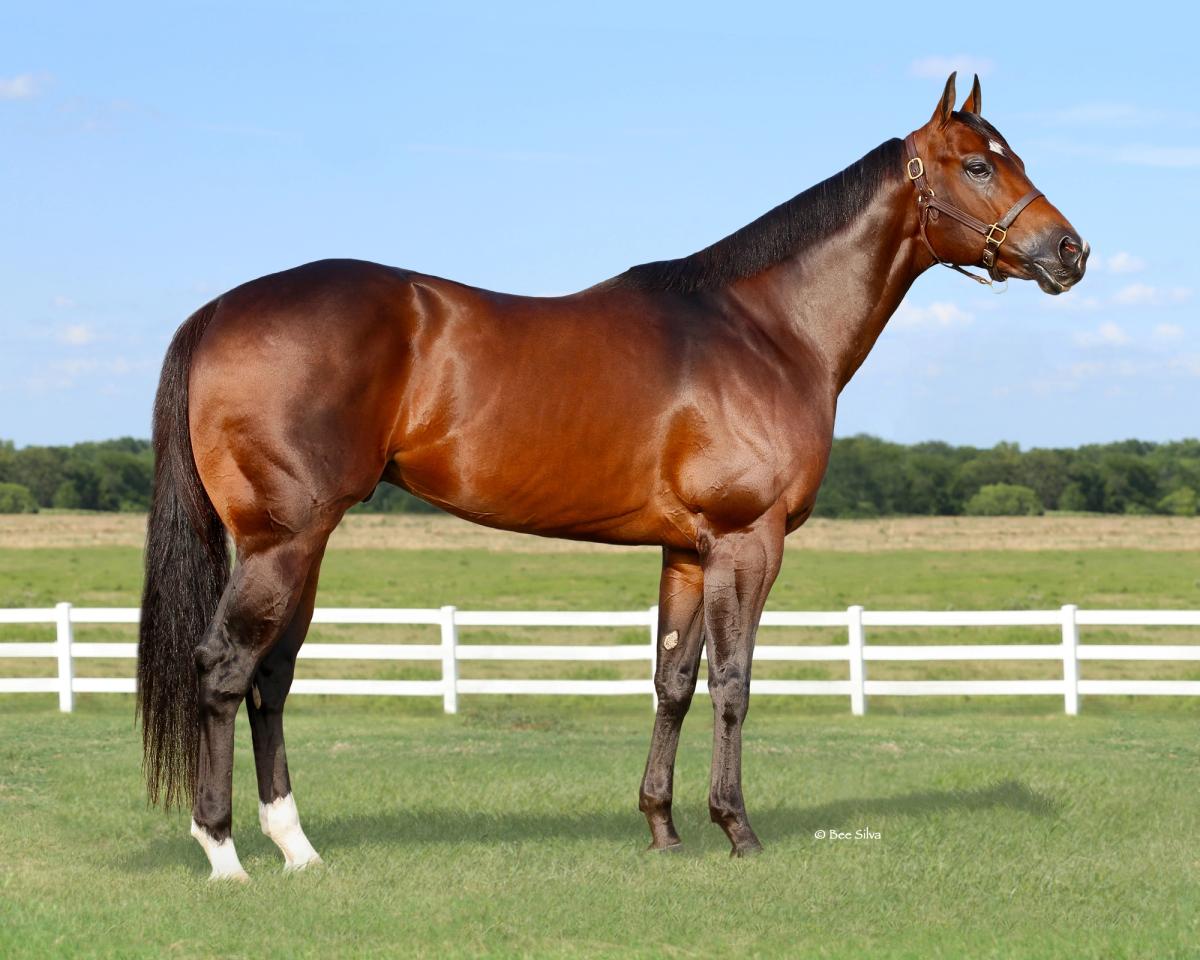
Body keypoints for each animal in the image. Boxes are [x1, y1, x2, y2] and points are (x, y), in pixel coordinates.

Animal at [136, 73, 1088, 879]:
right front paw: (738, 830)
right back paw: (223, 852)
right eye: (978, 163)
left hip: (302, 542)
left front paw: (663, 829)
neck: (765, 329)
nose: (1070, 251)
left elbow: (673, 682)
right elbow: (734, 684)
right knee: (223, 668)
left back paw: (296, 847)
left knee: (270, 678)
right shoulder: (747, 541)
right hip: (281, 540)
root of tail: (218, 310)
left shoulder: (689, 552)